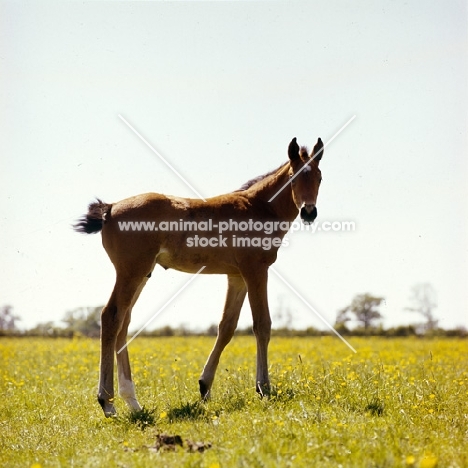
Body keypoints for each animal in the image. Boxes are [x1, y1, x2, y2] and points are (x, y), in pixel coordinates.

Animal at [75, 136, 324, 416]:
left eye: (319, 177)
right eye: (294, 177)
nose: (309, 212)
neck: (259, 206)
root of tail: (110, 208)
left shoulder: (236, 276)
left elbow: (226, 327)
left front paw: (205, 386)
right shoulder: (256, 270)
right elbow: (262, 324)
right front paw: (263, 387)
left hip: (141, 274)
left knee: (123, 323)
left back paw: (133, 402)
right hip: (131, 272)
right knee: (111, 316)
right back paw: (107, 402)